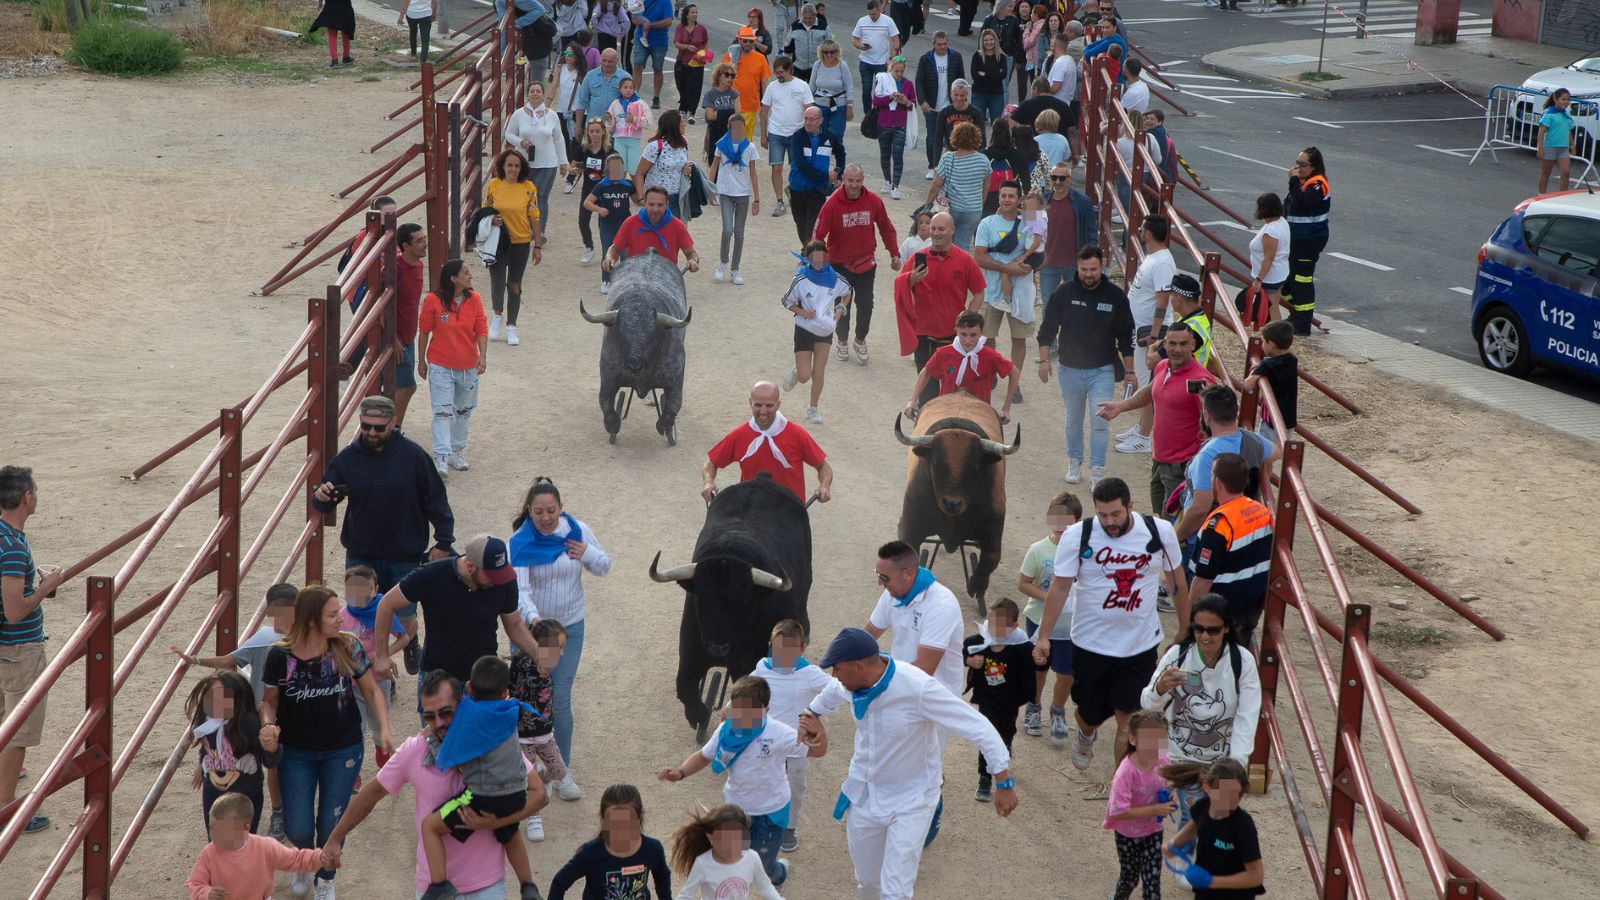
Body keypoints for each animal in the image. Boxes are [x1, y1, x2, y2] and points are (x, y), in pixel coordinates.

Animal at [582, 248, 694, 445]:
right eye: (620, 332)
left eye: (653, 333)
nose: (635, 364)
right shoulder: (609, 374)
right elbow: (606, 403)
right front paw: (613, 426)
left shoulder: (675, 376)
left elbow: (672, 407)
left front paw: (664, 427)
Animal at [649, 470, 812, 730]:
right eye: (700, 599)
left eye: (745, 602)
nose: (718, 647)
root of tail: (763, 478)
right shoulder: (690, 650)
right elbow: (684, 686)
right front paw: (698, 715)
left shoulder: (751, 662)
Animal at [896, 389, 1017, 605]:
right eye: (935, 462)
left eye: (976, 466)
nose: (952, 503)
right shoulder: (912, 527)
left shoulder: (994, 528)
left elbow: (991, 558)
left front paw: (975, 586)